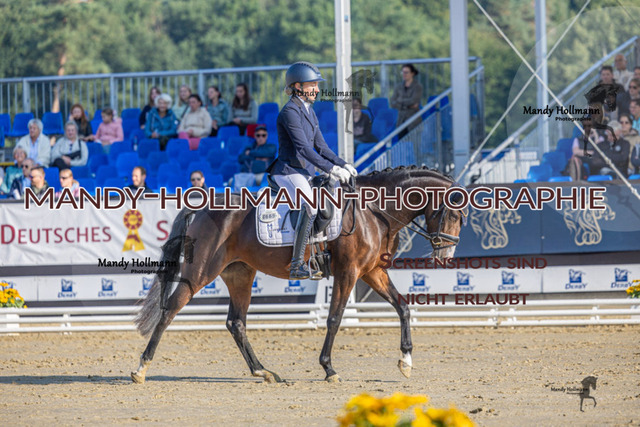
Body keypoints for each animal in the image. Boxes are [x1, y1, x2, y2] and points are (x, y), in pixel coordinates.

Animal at [131, 165, 467, 384]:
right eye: (451, 212)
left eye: (462, 216)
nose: (445, 257)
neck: (373, 211)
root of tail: (201, 208)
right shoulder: (349, 272)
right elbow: (334, 318)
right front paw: (329, 369)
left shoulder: (372, 272)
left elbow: (403, 307)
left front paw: (406, 362)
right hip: (201, 270)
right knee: (170, 310)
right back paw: (141, 369)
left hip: (239, 274)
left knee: (236, 323)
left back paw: (263, 371)